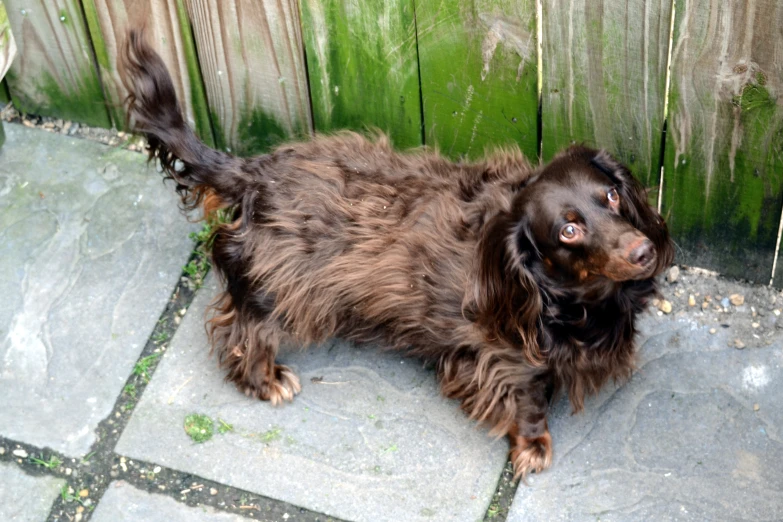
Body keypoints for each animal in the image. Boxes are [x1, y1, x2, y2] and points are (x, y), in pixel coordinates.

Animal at [121, 28, 672, 476]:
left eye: (612, 195)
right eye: (569, 230)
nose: (644, 251)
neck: (574, 297)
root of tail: (256, 173)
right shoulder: (500, 358)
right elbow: (528, 399)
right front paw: (533, 446)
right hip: (278, 287)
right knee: (243, 328)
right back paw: (264, 378)